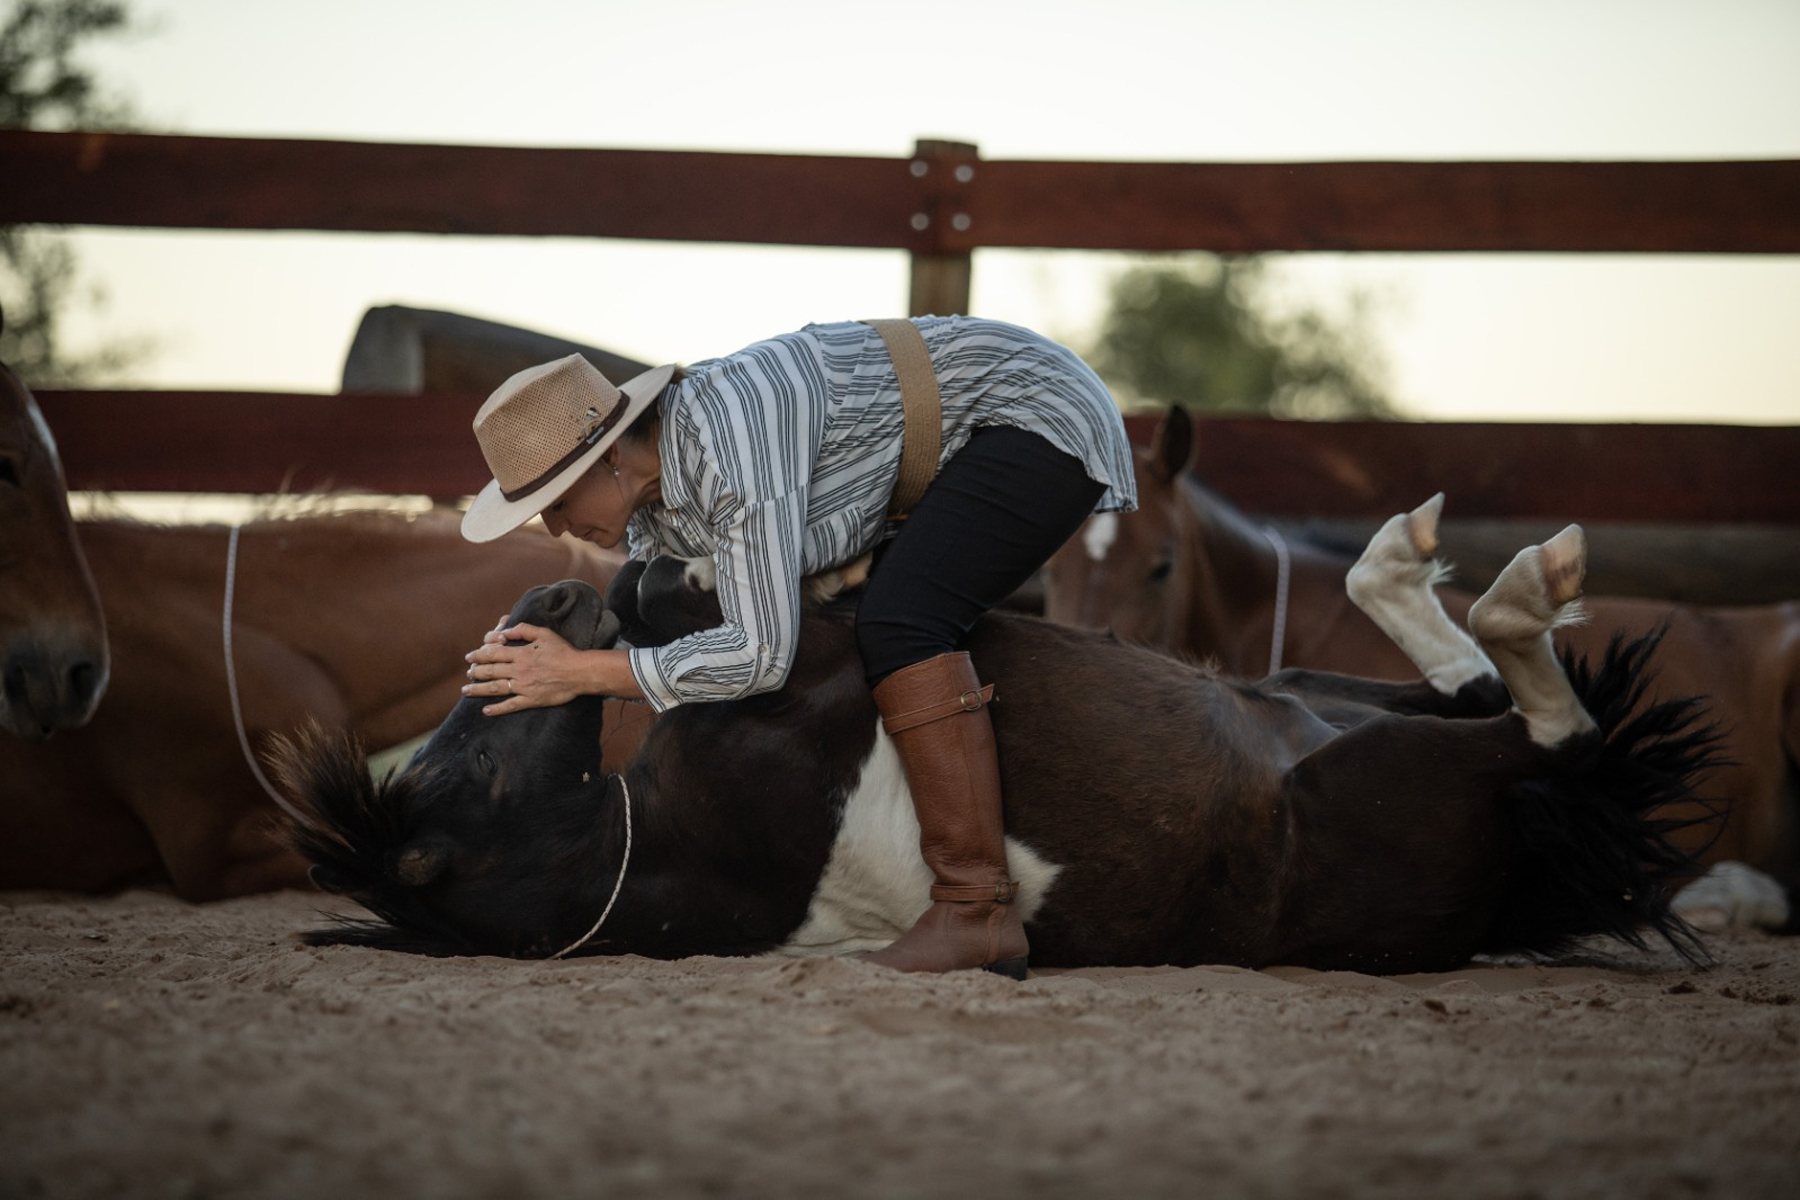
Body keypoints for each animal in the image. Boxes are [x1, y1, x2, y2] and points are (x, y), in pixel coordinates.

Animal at [277, 510, 1713, 978]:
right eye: (463, 771)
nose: (537, 604)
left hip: (1316, 693)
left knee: (1461, 680)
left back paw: (1411, 566)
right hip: (1401, 775)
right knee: (1548, 727)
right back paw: (1523, 592)